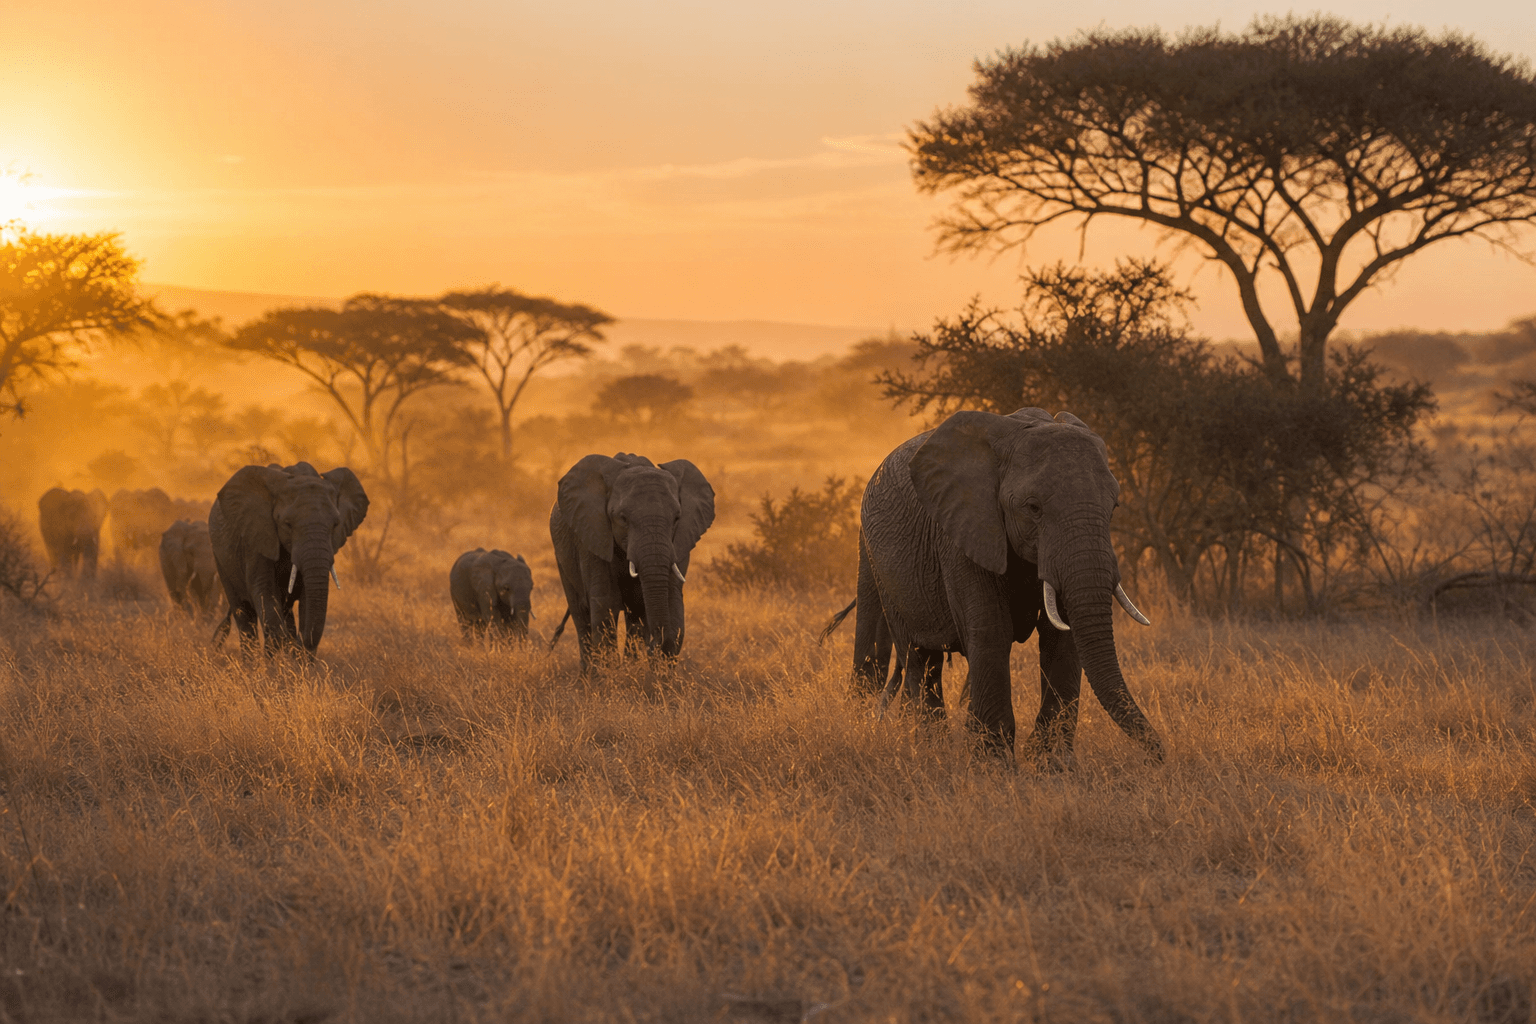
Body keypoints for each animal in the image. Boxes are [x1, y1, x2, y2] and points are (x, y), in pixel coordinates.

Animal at [208, 462, 368, 655]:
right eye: (287, 524)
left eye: (335, 524)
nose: (299, 644)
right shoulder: (257, 539)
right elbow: (265, 592)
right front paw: (281, 659)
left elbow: (308, 600)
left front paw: (297, 657)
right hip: (220, 559)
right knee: (244, 615)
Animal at [549, 452, 715, 673]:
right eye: (623, 518)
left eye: (677, 518)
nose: (654, 645)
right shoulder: (593, 536)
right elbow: (606, 606)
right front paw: (610, 678)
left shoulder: (680, 542)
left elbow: (673, 603)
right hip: (562, 555)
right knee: (581, 616)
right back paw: (588, 676)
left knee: (634, 618)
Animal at [853, 408, 1163, 765]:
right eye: (1033, 508)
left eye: (1114, 507)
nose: (1156, 756)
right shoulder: (963, 532)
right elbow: (992, 632)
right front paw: (993, 766)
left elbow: (1063, 637)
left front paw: (1053, 765)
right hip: (883, 570)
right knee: (920, 660)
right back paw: (932, 752)